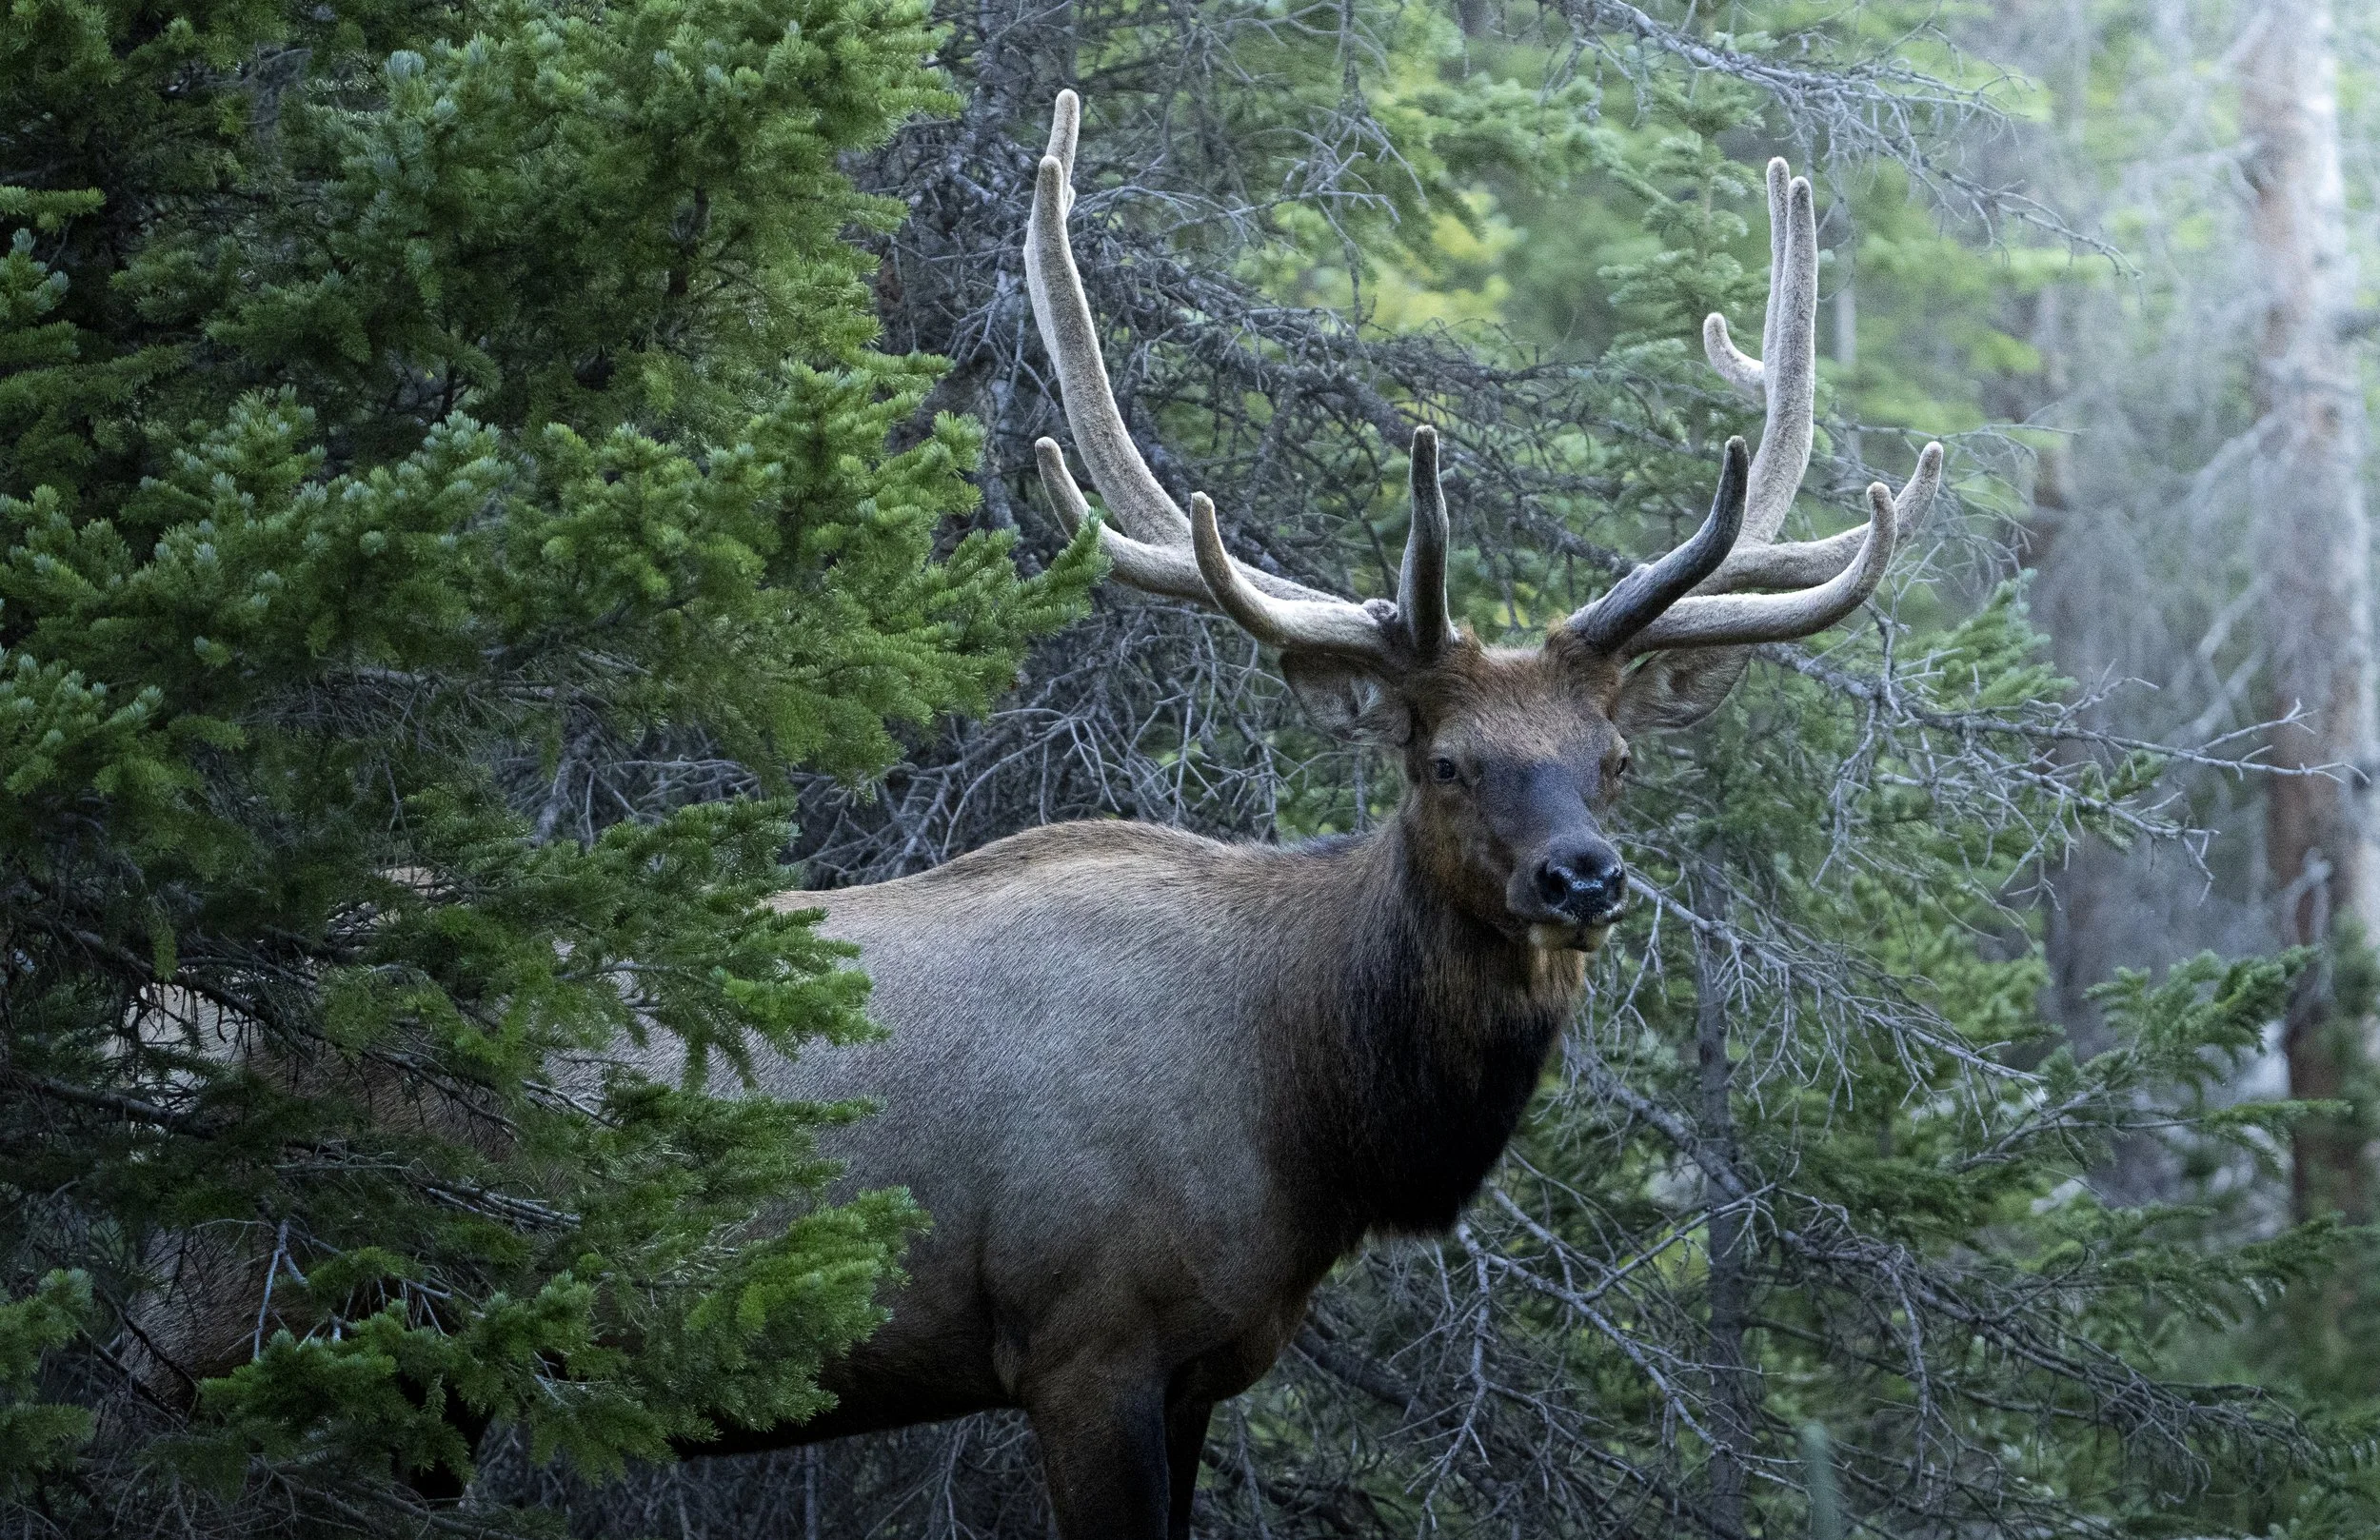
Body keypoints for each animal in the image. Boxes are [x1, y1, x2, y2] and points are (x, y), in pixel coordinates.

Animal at [665, 92, 1946, 1540]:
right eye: (1443, 761)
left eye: (1613, 755)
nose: (1581, 879)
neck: (1308, 1119)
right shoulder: (1083, 1338)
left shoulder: (1203, 1366)